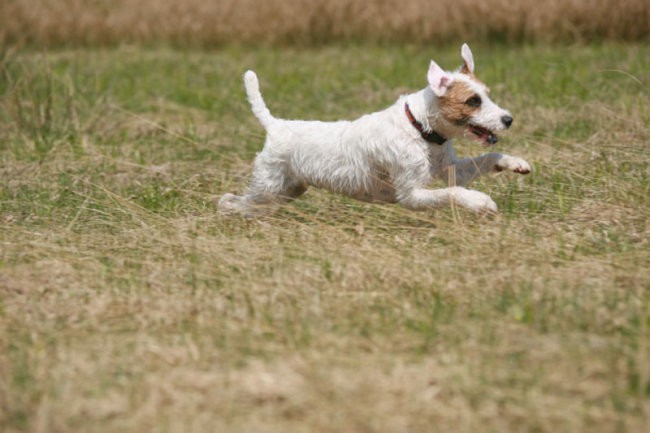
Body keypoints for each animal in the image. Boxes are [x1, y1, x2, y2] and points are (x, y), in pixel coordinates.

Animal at [218, 44, 528, 216]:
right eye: (473, 101)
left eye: (487, 95)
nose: (508, 119)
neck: (419, 128)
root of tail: (276, 126)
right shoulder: (411, 195)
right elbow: (453, 193)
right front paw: (481, 201)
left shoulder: (451, 169)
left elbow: (486, 160)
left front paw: (515, 163)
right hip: (268, 187)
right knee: (230, 202)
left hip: (287, 190)